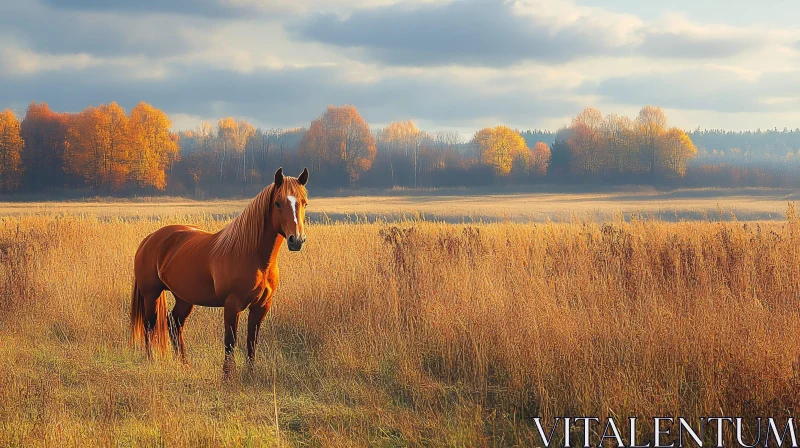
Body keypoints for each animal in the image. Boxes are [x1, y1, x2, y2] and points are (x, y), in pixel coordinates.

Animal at [131, 166, 310, 376]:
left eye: (304, 203)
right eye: (278, 203)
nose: (296, 240)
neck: (252, 256)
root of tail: (150, 238)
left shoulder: (261, 306)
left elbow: (252, 341)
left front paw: (250, 374)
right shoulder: (232, 305)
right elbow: (230, 341)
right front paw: (227, 376)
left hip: (184, 298)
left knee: (174, 323)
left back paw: (184, 364)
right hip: (151, 294)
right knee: (149, 325)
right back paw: (151, 360)